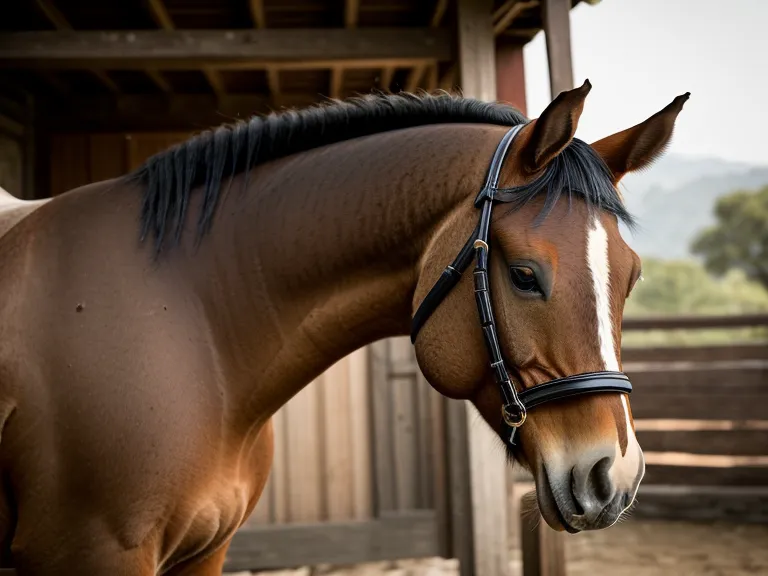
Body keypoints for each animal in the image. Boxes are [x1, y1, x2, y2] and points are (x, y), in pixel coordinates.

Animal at [0, 81, 688, 574]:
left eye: (630, 279)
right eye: (524, 275)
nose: (613, 477)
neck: (190, 318)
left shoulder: (205, 553)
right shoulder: (94, 554)